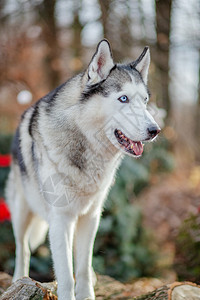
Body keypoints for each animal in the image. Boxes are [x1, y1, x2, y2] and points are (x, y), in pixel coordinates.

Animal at [5, 40, 160, 300]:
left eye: (145, 100)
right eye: (123, 99)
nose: (155, 130)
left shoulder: (91, 216)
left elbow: (84, 266)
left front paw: (87, 293)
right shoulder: (60, 220)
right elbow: (66, 274)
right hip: (21, 212)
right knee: (23, 248)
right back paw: (19, 279)